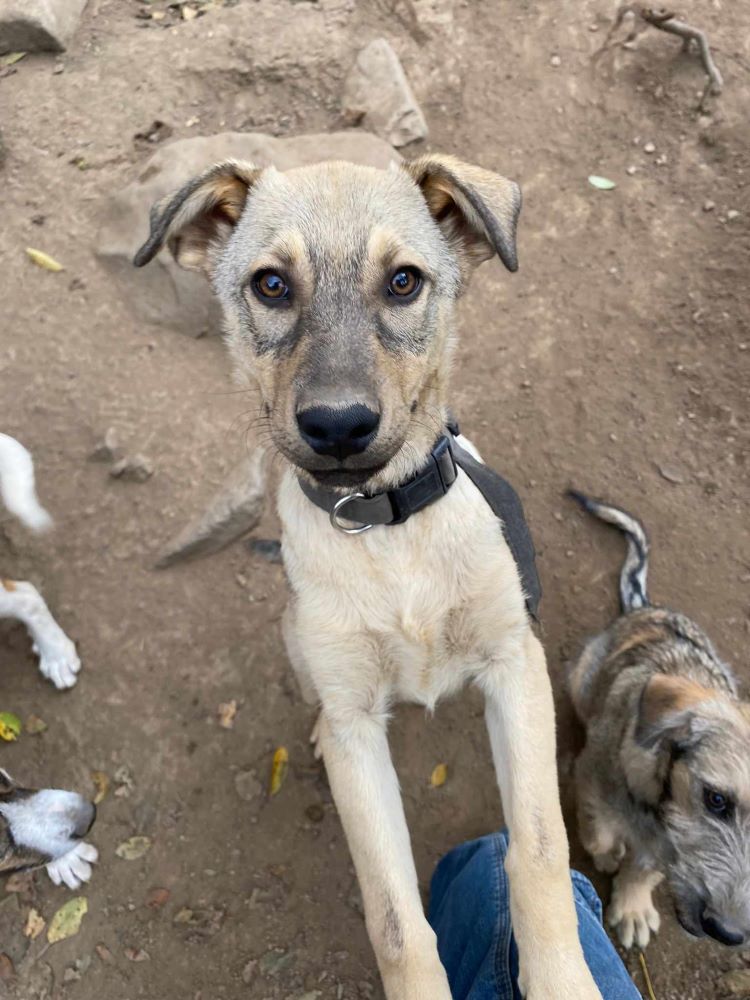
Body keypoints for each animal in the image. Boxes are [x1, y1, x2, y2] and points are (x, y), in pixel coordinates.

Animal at [137, 156, 604, 1000]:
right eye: (270, 284)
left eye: (404, 281)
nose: (339, 426)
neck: (387, 532)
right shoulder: (358, 726)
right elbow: (394, 923)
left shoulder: (514, 664)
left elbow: (539, 849)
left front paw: (560, 978)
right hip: (297, 642)